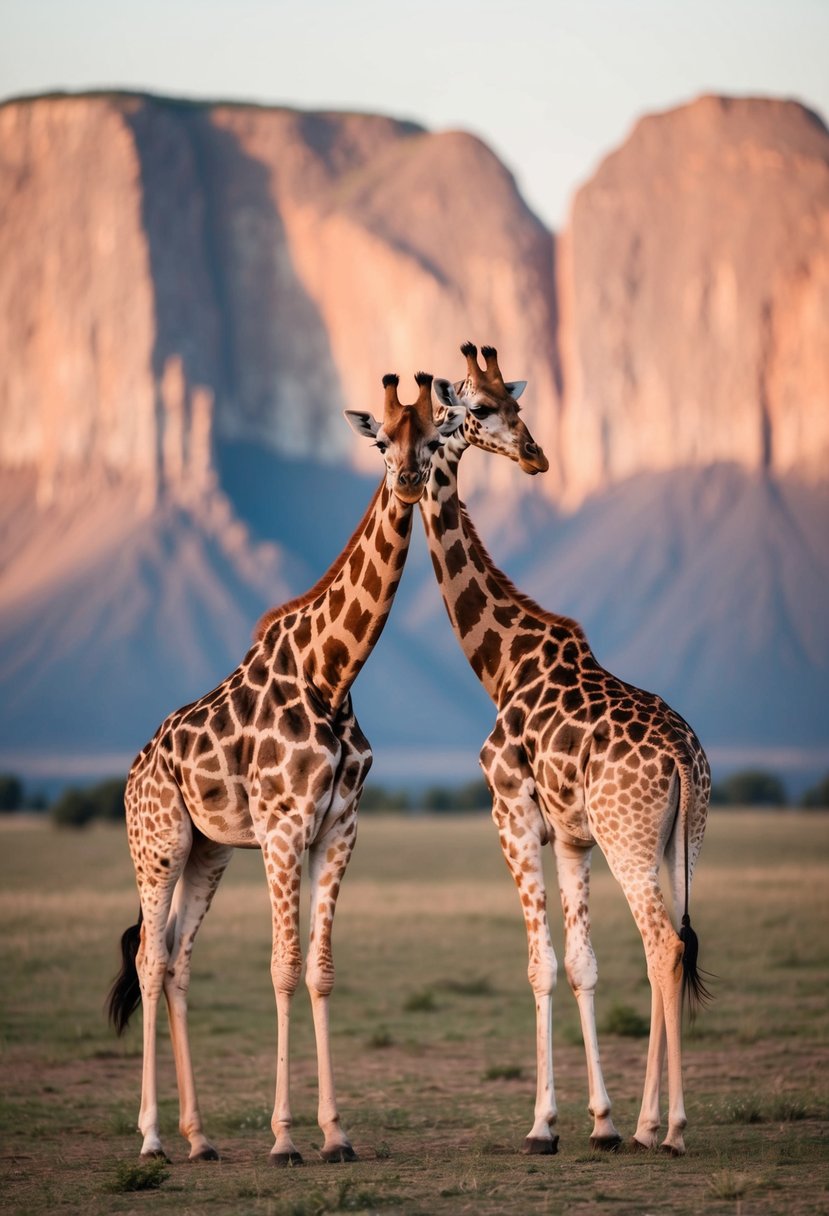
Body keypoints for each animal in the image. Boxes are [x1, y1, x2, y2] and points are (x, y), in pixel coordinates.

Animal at [107, 371, 465, 1165]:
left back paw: (200, 1138)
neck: (331, 675)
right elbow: (281, 967)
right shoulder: (280, 830)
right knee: (147, 958)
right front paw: (283, 1138)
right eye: (380, 439)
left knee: (175, 958)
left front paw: (335, 1133)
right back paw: (151, 1137)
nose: (407, 479)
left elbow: (320, 969)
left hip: (208, 852)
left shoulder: (339, 830)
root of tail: (135, 769)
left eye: (434, 437)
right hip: (159, 843)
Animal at [422, 342, 710, 1157]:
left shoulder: (511, 814)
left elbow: (541, 965)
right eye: (480, 407)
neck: (499, 661)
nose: (535, 456)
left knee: (663, 945)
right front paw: (603, 1120)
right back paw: (647, 1125)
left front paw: (543, 1124)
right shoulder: (575, 837)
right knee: (667, 945)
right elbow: (582, 963)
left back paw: (671, 1129)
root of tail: (684, 756)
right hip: (680, 839)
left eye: (509, 403)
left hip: (630, 836)